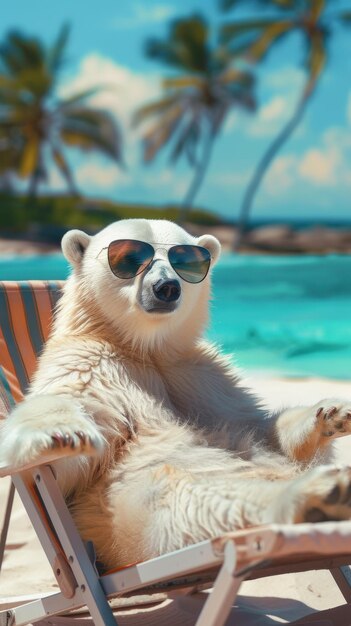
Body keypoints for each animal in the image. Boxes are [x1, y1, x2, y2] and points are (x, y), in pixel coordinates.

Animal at [0, 218, 351, 564]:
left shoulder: (200, 377)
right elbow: (62, 466)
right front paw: (61, 435)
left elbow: (261, 430)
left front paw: (333, 413)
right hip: (141, 505)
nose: (166, 287)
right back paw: (319, 497)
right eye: (129, 258)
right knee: (203, 503)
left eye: (185, 260)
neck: (146, 349)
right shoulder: (93, 366)